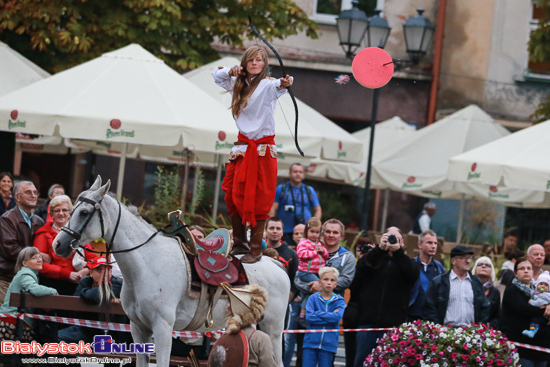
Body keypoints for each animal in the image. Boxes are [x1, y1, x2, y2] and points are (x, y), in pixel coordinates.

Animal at [54, 177, 292, 366]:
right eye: (71, 209)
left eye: (84, 212)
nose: (58, 244)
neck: (147, 264)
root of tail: (275, 263)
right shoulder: (138, 329)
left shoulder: (162, 328)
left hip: (273, 328)